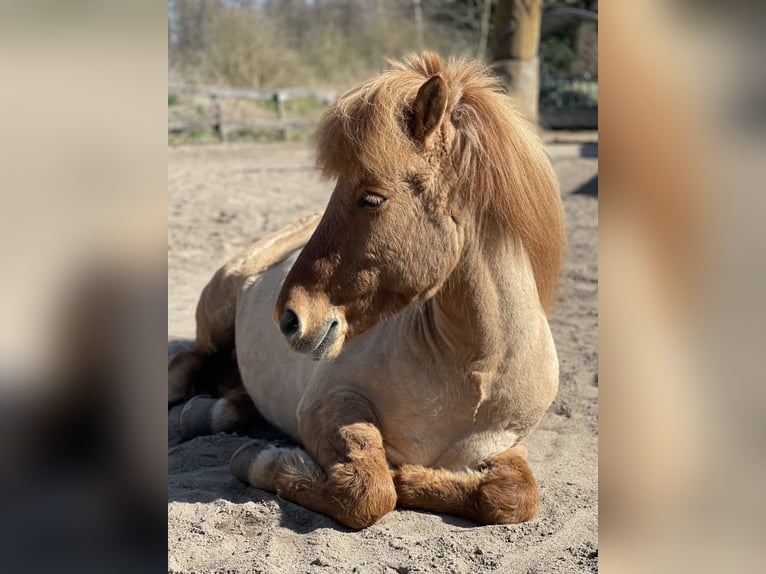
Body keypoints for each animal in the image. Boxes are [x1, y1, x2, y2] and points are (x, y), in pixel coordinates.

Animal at [168, 52, 565, 529]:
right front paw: (261, 461)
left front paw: (417, 478)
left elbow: (511, 496)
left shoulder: (506, 446)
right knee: (186, 362)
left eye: (372, 198)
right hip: (215, 318)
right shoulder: (329, 404)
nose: (290, 318)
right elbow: (370, 491)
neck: (474, 373)